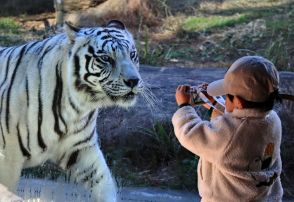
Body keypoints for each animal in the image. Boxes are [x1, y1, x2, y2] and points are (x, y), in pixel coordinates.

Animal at [0, 19, 142, 201]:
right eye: (106, 58)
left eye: (132, 55)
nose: (134, 81)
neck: (76, 107)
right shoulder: (8, 158)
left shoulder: (82, 150)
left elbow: (104, 183)